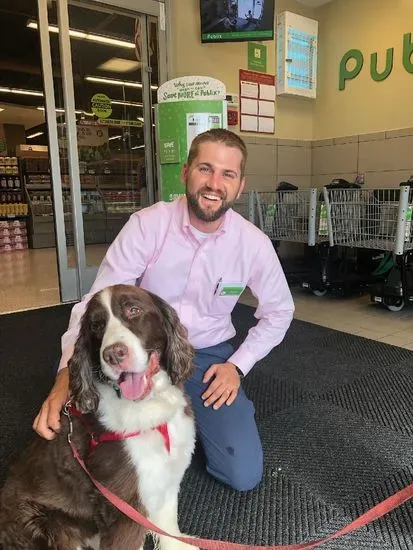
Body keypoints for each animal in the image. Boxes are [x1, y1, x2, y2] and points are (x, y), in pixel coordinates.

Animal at [0, 286, 198, 548]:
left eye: (134, 310)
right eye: (96, 326)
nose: (113, 354)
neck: (148, 406)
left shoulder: (168, 477)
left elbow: (169, 529)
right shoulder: (124, 505)